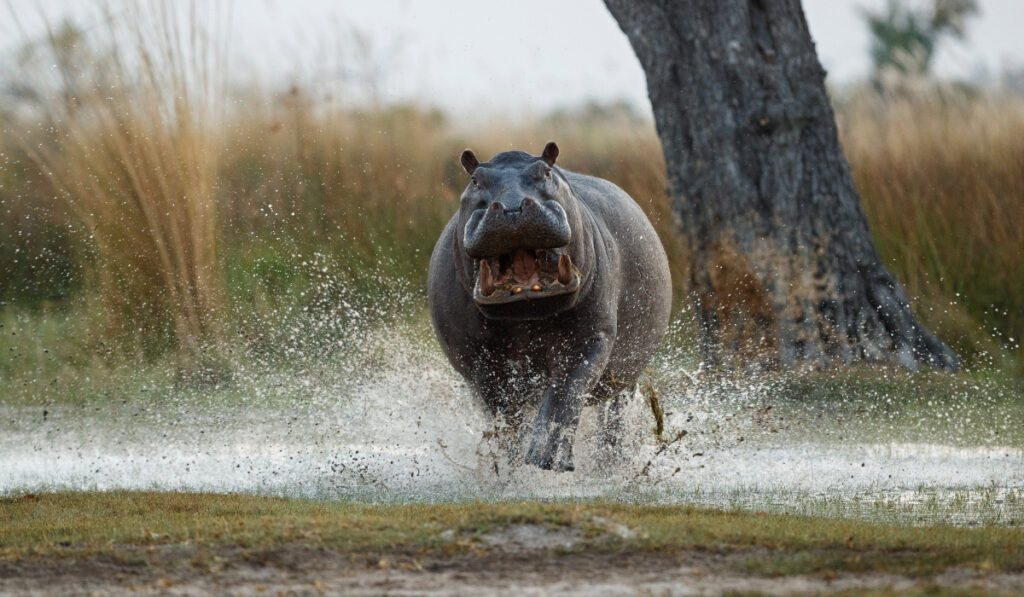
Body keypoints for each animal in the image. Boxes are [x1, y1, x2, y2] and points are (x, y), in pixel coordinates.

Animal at [425, 141, 671, 471]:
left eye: (546, 172)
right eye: (475, 180)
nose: (512, 206)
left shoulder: (591, 338)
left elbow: (566, 392)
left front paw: (548, 459)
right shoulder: (478, 359)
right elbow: (504, 412)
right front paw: (511, 464)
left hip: (626, 372)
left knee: (614, 416)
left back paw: (611, 466)